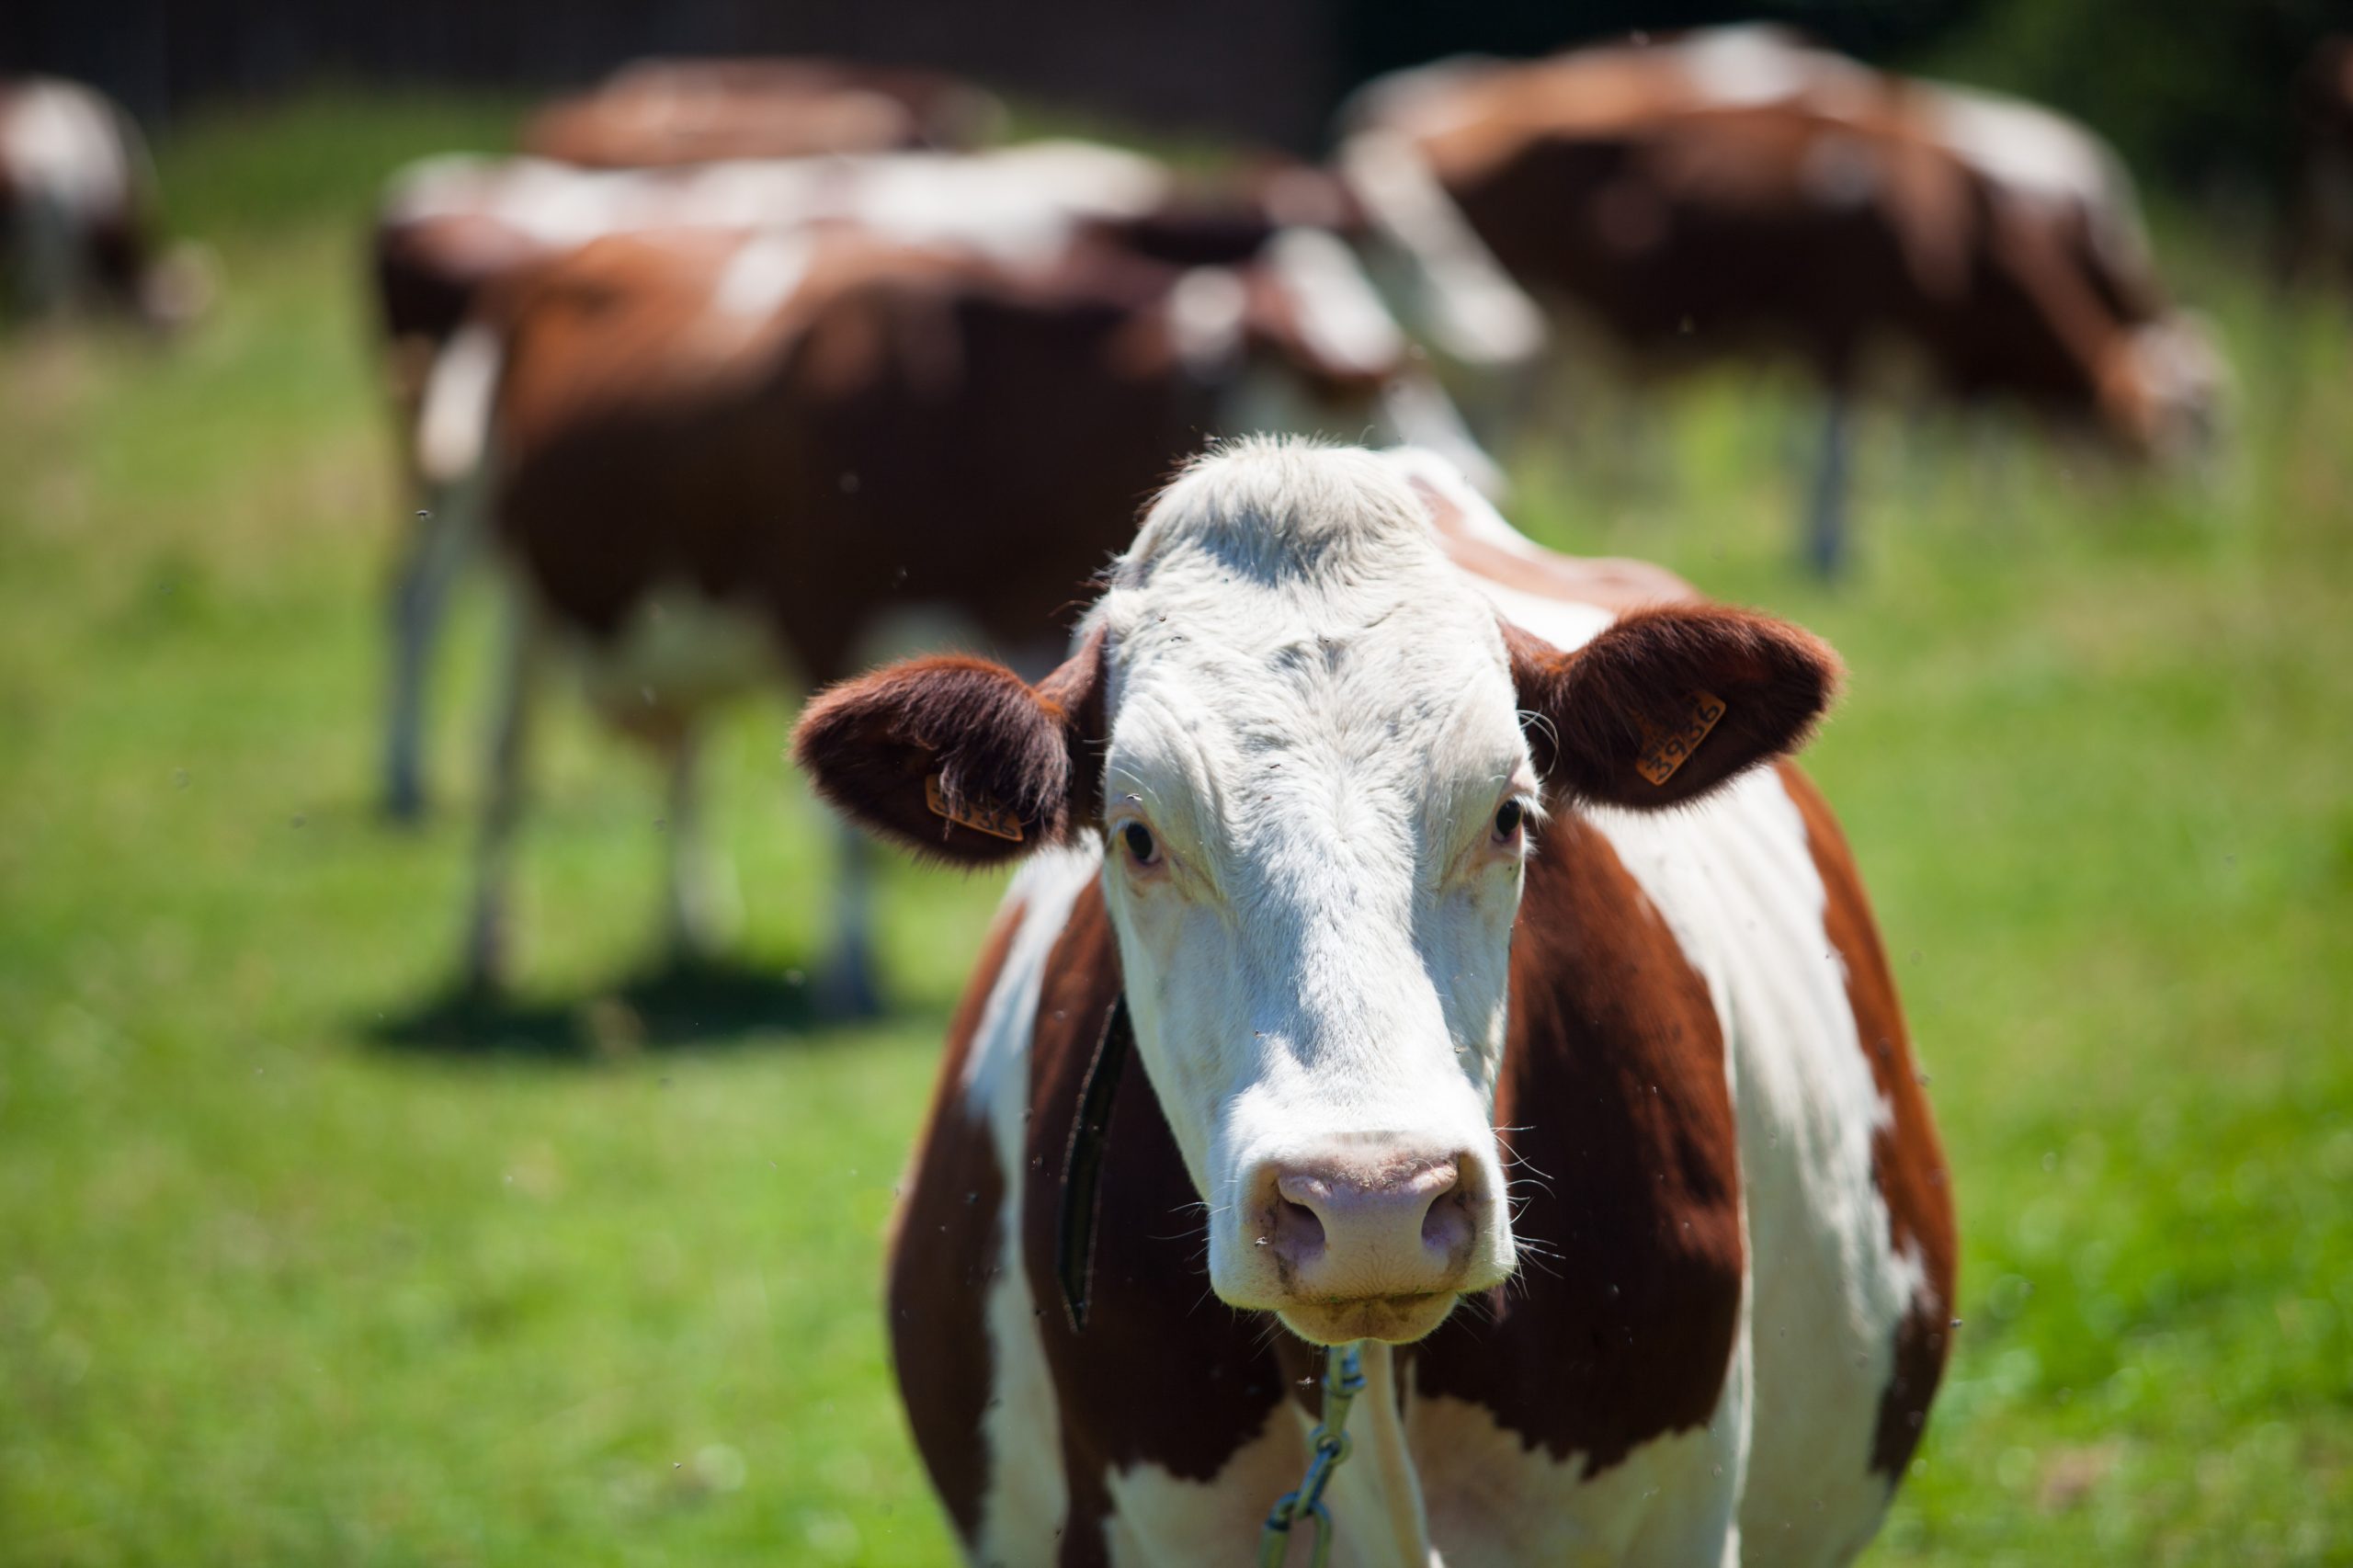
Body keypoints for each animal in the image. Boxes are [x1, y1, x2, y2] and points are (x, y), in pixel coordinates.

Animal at [426, 221, 1493, 1006]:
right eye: (1364, 377)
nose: (1476, 473)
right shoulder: (824, 604)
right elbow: (843, 836)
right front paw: (849, 971)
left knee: (684, 760)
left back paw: (694, 928)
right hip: (510, 579)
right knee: (504, 759)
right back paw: (486, 945)